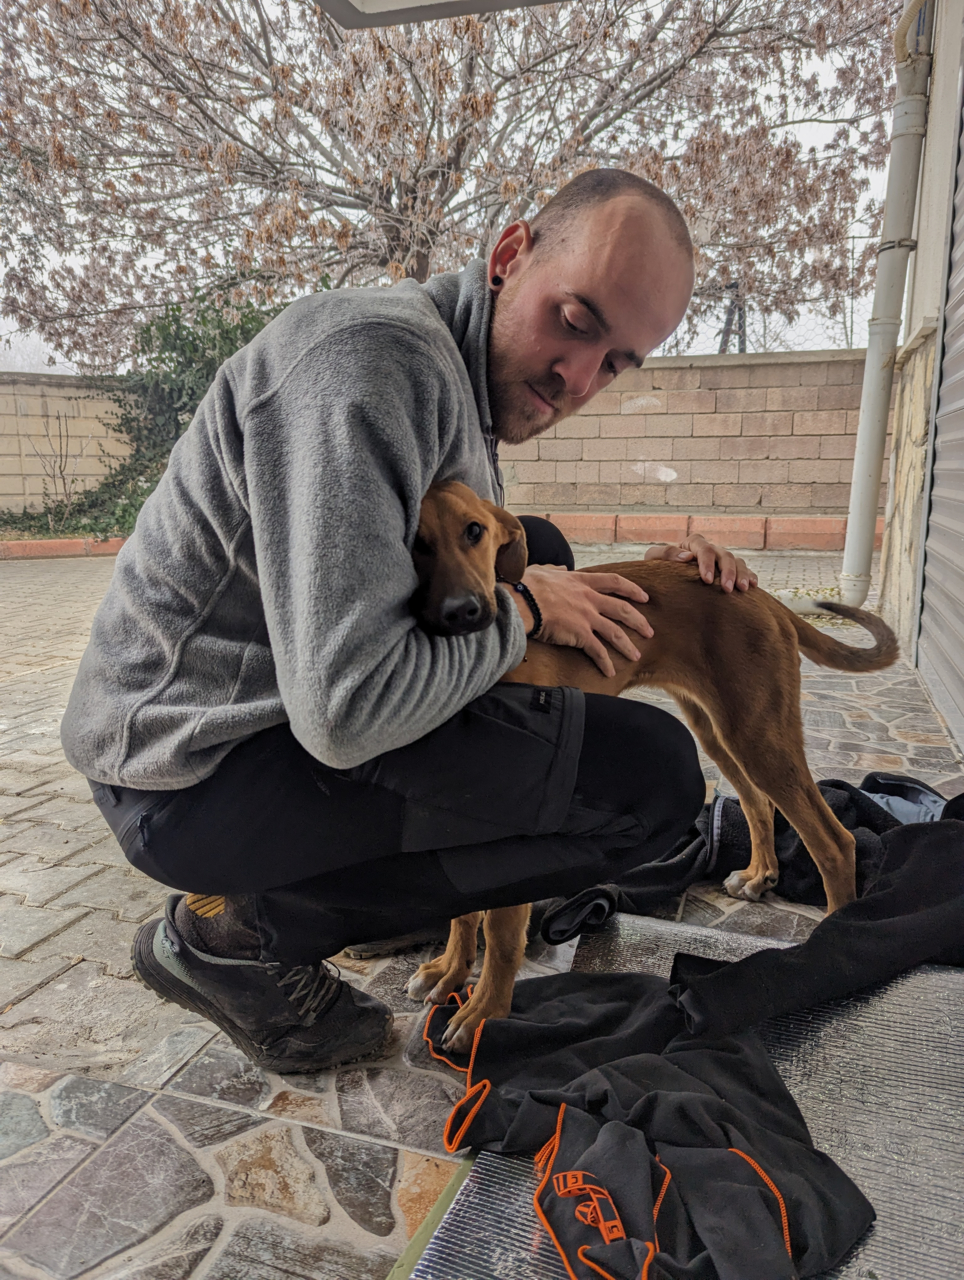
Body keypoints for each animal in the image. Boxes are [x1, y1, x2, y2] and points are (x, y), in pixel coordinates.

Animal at [406, 480, 898, 1051]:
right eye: (414, 542)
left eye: (475, 532)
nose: (465, 612)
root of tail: (761, 594)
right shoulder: (452, 814)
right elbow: (462, 913)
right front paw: (448, 970)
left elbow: (501, 930)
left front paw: (484, 1013)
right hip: (718, 729)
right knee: (757, 802)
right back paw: (759, 876)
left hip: (757, 732)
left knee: (832, 841)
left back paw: (829, 946)